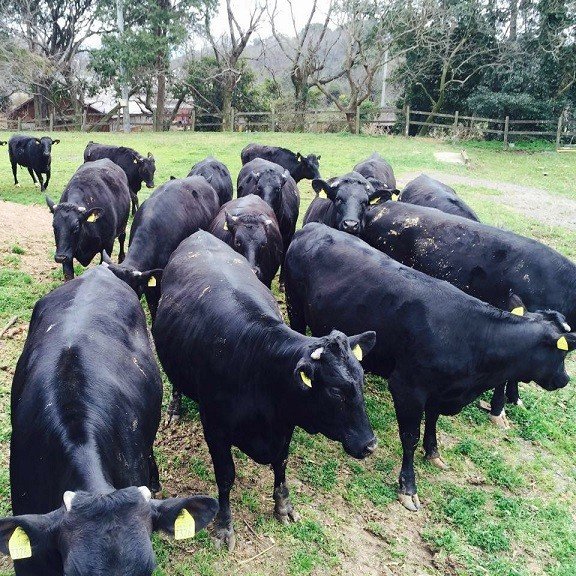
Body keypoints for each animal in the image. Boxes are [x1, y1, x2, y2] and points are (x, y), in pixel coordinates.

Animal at [154, 232, 378, 552]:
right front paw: (224, 526)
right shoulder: (215, 428)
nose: (370, 445)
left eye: (360, 379)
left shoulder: (285, 426)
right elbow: (226, 476)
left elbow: (281, 463)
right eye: (336, 391)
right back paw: (174, 409)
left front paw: (283, 506)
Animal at [284, 225, 576, 512]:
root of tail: (311, 228)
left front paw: (433, 451)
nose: (564, 379)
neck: (469, 337)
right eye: (562, 352)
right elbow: (409, 436)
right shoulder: (407, 388)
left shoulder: (440, 389)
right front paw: (408, 487)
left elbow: (432, 419)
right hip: (294, 308)